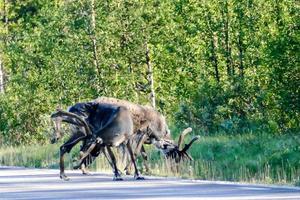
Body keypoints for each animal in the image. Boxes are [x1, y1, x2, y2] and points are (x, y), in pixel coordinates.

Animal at [50, 97, 200, 180]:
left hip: (83, 131)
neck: (159, 131)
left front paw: (144, 170)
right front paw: (128, 170)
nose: (176, 170)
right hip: (83, 130)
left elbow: (142, 154)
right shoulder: (142, 133)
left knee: (69, 146)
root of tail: (72, 106)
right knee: (76, 145)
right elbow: (136, 153)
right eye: (174, 155)